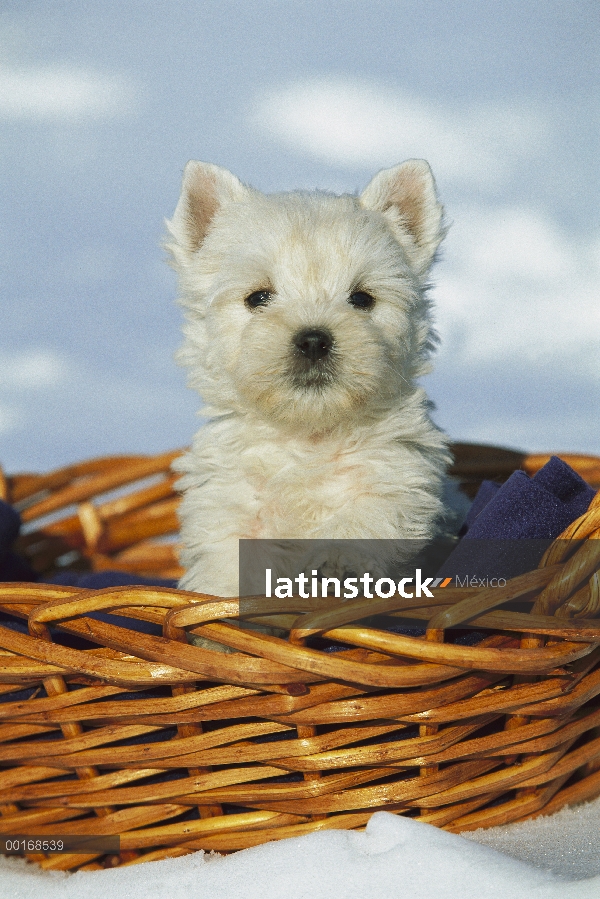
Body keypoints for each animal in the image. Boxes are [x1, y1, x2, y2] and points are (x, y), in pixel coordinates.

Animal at [164, 162, 450, 596]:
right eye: (258, 297)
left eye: (362, 298)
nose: (314, 340)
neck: (308, 436)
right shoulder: (229, 504)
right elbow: (231, 562)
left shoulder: (395, 479)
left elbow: (363, 522)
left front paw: (336, 567)